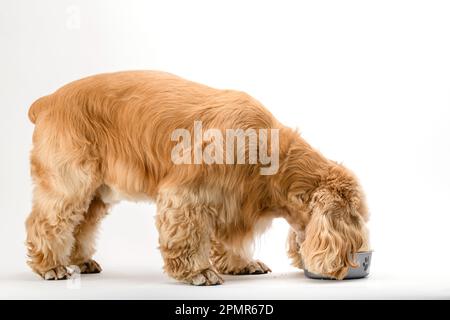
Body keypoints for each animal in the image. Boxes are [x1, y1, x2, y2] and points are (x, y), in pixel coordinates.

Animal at [25, 71, 370, 284]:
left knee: (82, 225)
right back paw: (51, 266)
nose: (360, 255)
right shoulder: (186, 195)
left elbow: (229, 242)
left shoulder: (233, 204)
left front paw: (242, 264)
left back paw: (80, 261)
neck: (273, 156)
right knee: (45, 222)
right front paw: (198, 272)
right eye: (357, 217)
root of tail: (48, 100)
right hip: (70, 183)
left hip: (97, 193)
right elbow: (189, 236)